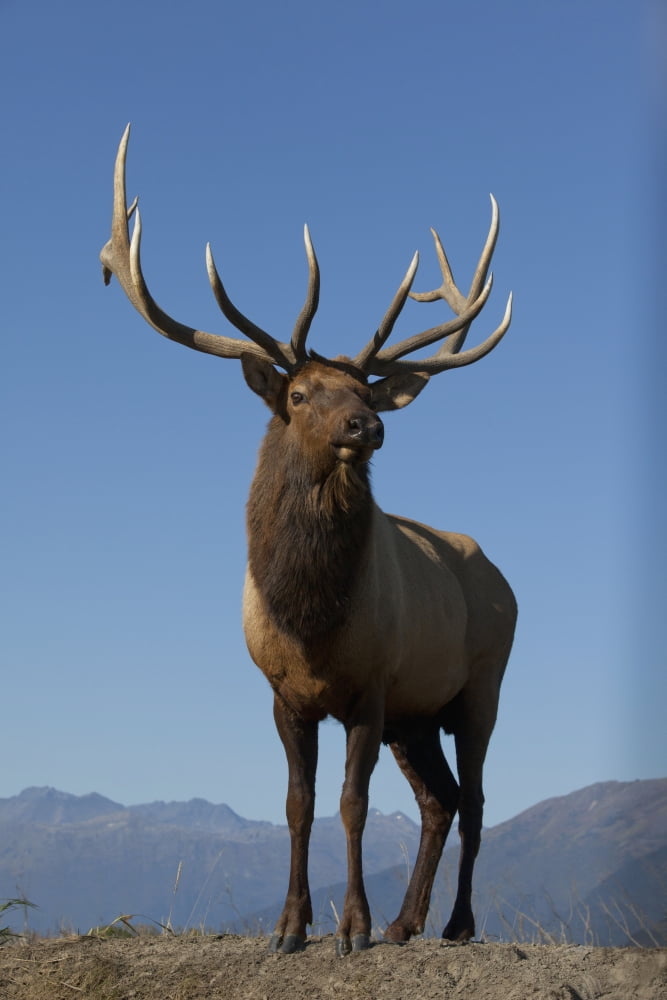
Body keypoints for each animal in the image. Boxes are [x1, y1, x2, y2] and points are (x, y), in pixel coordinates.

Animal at [100, 125, 517, 956]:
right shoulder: (282, 694)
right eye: (297, 394)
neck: (310, 619)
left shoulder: (372, 685)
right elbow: (297, 804)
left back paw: (452, 924)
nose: (368, 424)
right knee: (440, 799)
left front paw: (350, 928)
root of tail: (501, 577)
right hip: (418, 715)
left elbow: (351, 804)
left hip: (480, 683)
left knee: (477, 798)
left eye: (361, 389)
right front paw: (291, 928)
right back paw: (405, 922)